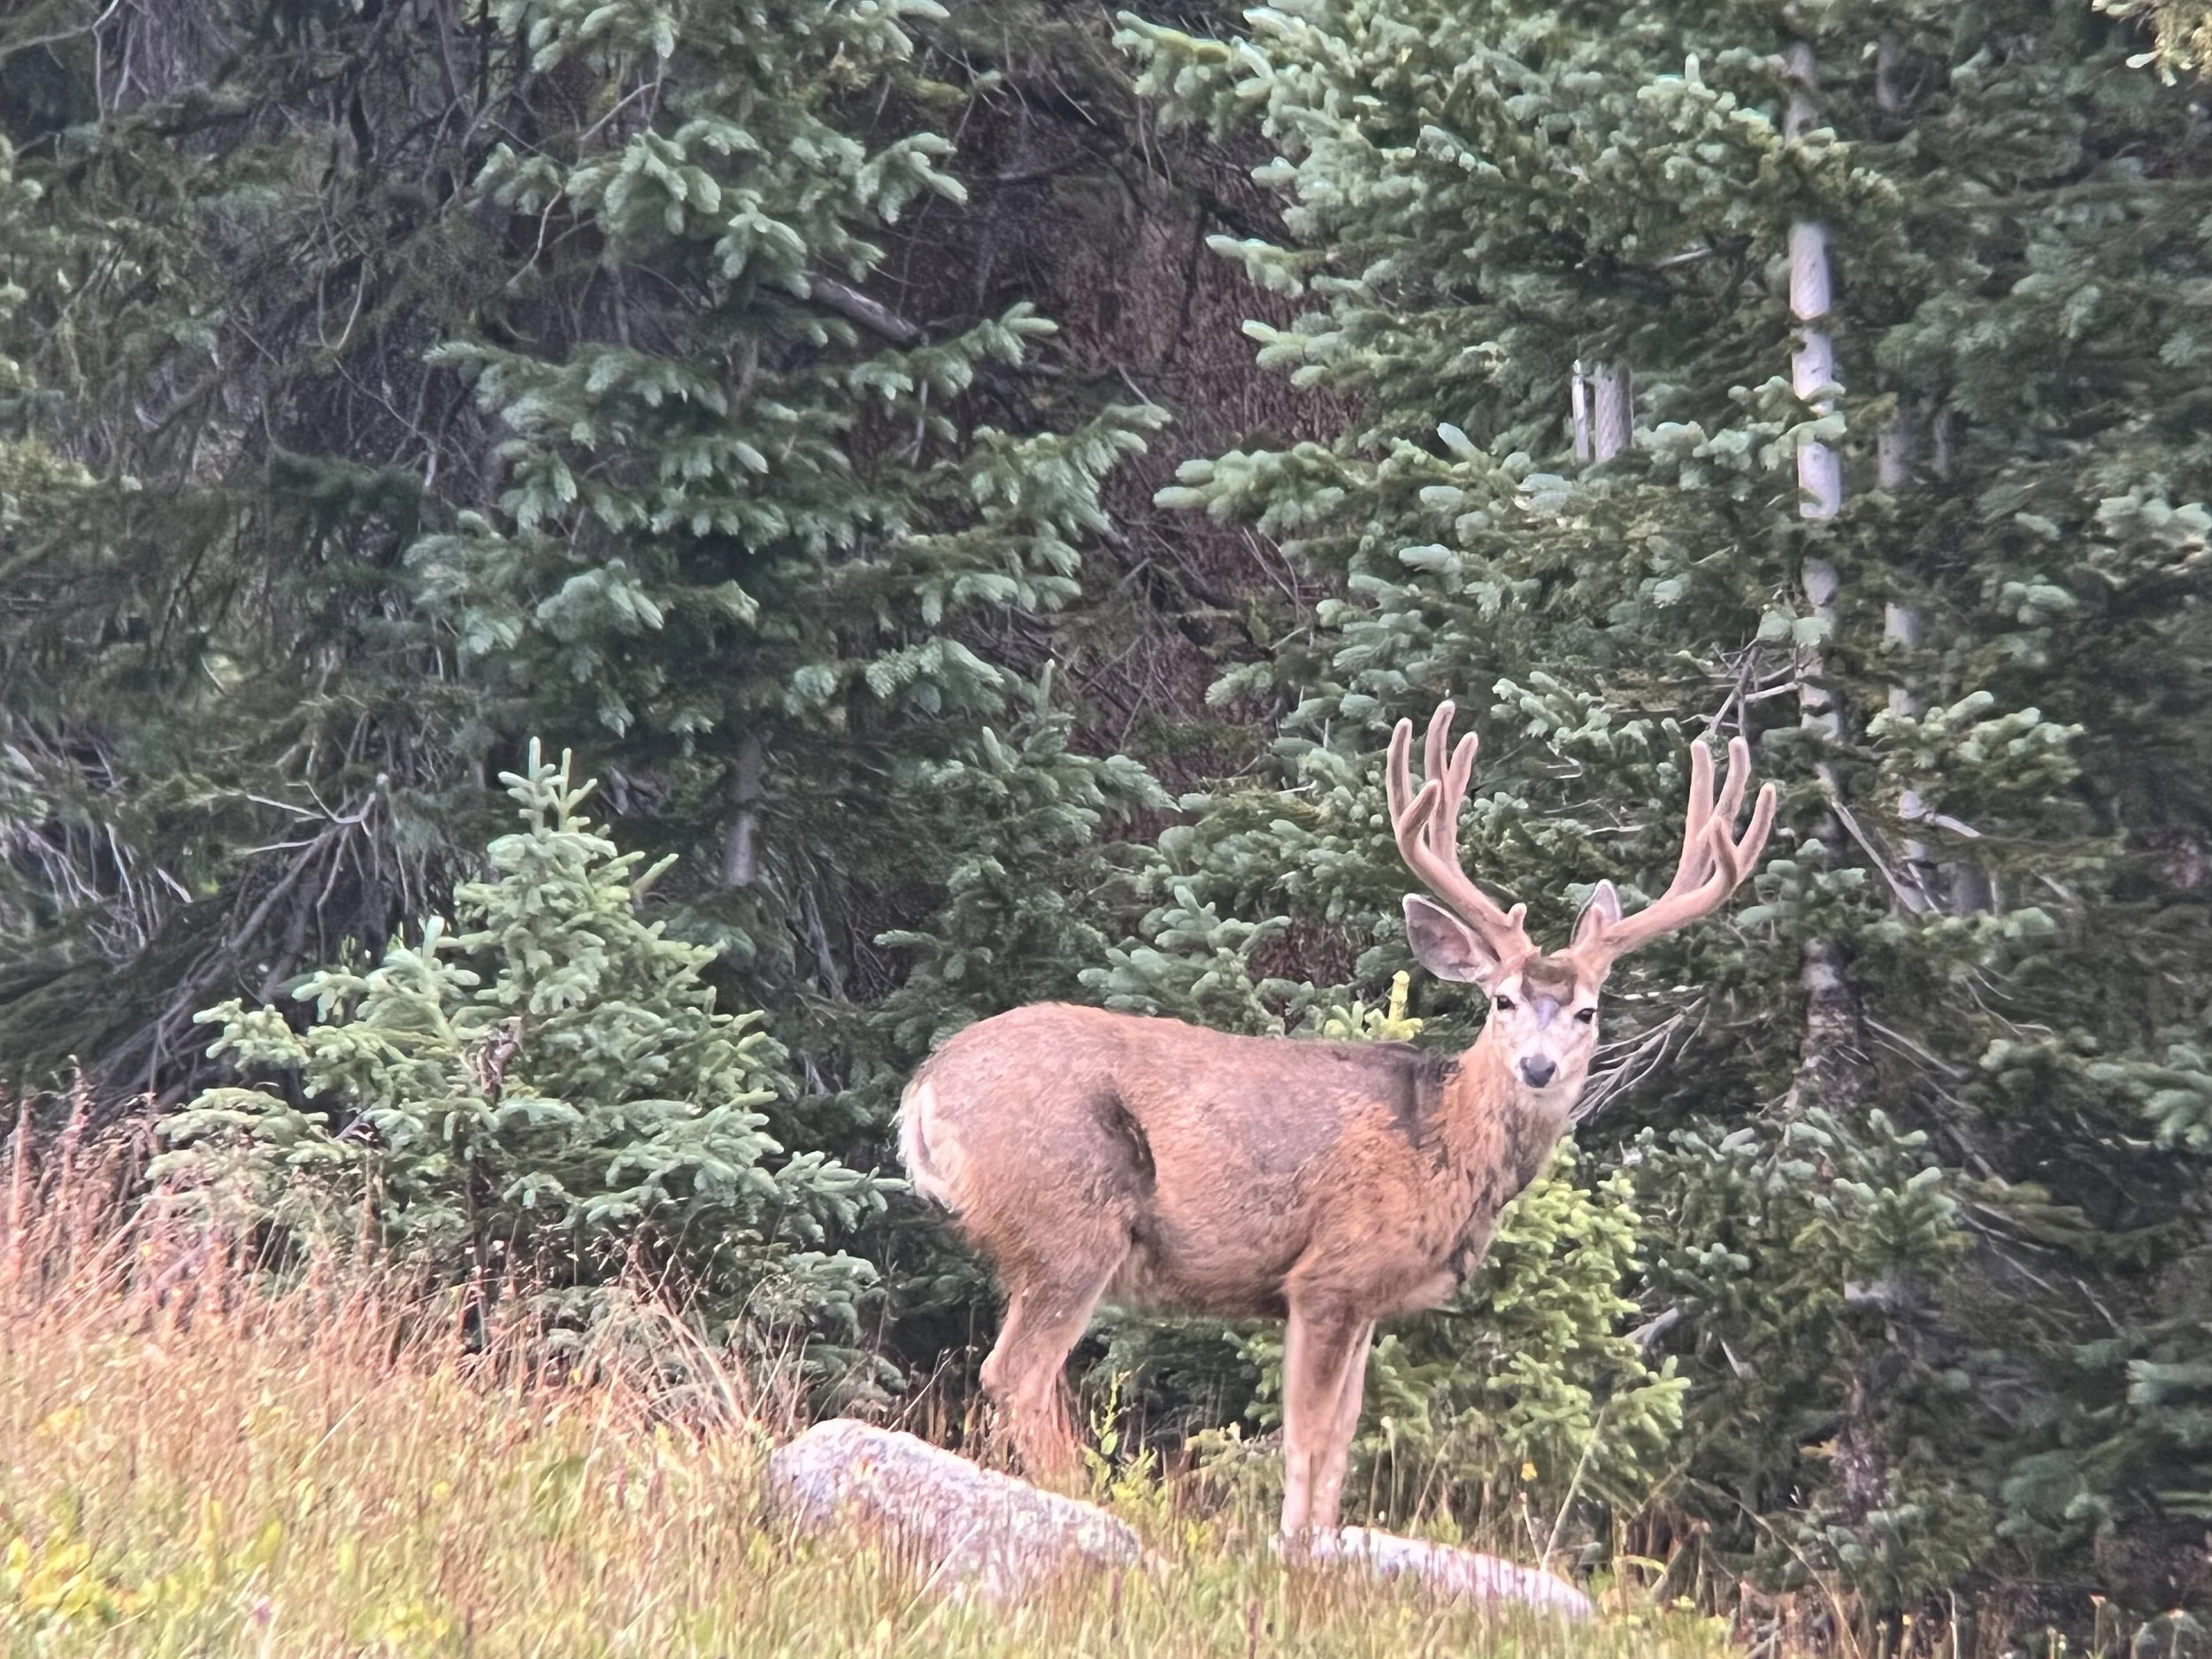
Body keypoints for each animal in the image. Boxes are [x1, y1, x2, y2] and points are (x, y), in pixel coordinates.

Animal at [898, 702, 1776, 1541]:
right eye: (1502, 1000)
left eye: (1589, 1011)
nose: (1538, 1067)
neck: (1442, 1140)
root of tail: (923, 1090)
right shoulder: (1328, 1275)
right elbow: (1308, 1433)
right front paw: (1294, 1552)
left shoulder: (1368, 1303)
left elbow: (1347, 1435)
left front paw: (1322, 1539)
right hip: (1071, 1222)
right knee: (1016, 1373)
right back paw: (1087, 1504)